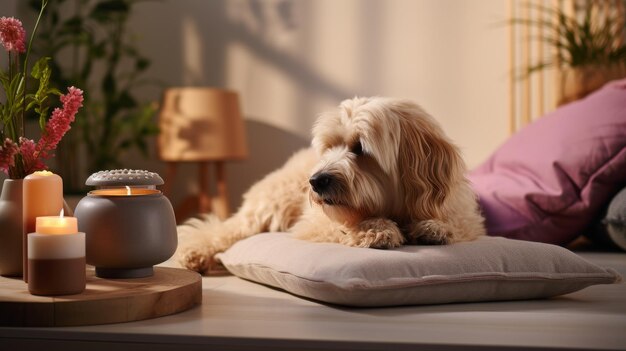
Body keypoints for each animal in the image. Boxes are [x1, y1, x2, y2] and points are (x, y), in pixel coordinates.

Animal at [176, 97, 482, 276]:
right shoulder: (313, 224)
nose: (315, 181)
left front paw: (433, 227)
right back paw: (195, 254)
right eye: (328, 147)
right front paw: (376, 228)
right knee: (224, 230)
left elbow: (451, 224)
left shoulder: (467, 220)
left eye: (360, 148)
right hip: (271, 205)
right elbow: (344, 224)